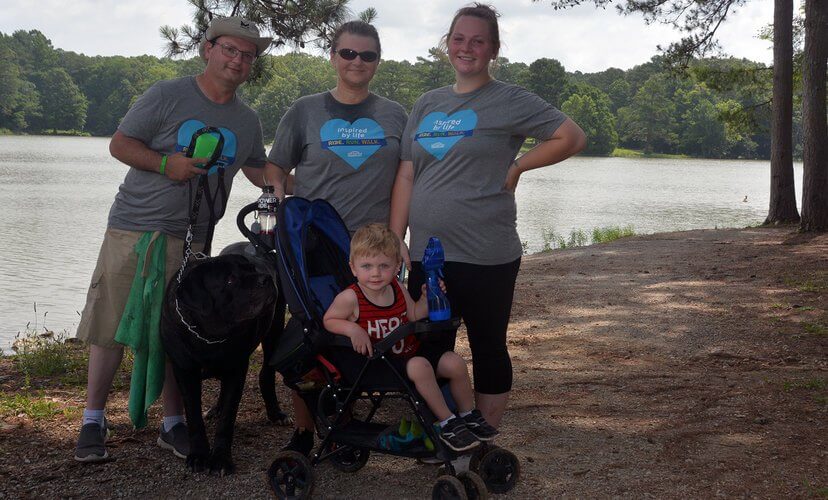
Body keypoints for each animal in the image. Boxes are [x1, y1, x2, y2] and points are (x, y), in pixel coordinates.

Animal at [161, 254, 284, 472]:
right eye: (230, 280)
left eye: (252, 269)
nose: (266, 279)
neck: (209, 336)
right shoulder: (185, 371)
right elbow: (194, 416)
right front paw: (198, 455)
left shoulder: (236, 370)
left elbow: (228, 417)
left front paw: (220, 459)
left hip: (274, 331)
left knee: (267, 374)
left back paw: (275, 412)